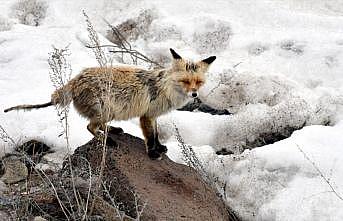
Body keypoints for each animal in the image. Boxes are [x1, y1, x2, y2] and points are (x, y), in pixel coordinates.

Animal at [4, 48, 216, 159]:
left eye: (198, 82)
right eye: (185, 81)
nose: (195, 94)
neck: (164, 88)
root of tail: (76, 79)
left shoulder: (153, 116)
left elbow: (156, 135)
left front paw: (160, 147)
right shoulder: (146, 115)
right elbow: (150, 137)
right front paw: (152, 153)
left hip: (109, 112)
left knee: (98, 125)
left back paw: (112, 131)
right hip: (106, 110)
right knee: (90, 127)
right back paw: (107, 140)